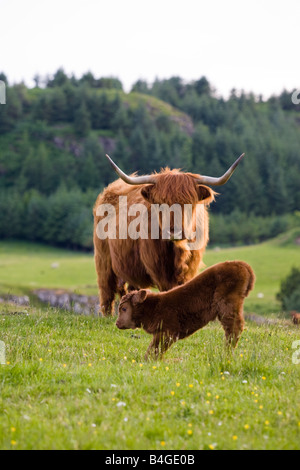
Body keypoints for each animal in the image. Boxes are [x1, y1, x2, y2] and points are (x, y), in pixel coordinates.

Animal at [94, 154, 246, 316]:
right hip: (103, 259)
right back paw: (108, 316)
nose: (174, 231)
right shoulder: (159, 269)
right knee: (106, 291)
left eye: (189, 203)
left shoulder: (191, 267)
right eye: (160, 203)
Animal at [116, 260, 254, 360]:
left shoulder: (167, 332)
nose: (117, 323)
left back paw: (226, 353)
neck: (154, 306)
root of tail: (242, 264)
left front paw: (148, 360)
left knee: (234, 327)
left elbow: (155, 347)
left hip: (227, 305)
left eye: (124, 308)